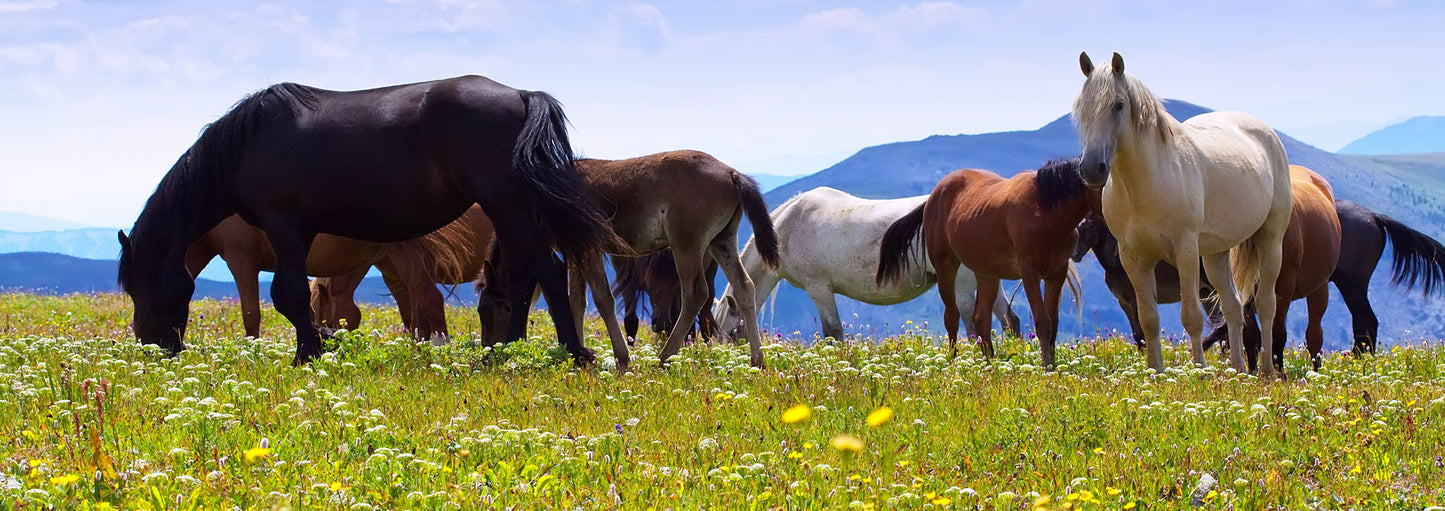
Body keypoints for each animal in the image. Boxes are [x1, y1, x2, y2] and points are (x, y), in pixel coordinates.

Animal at [477, 150, 778, 369]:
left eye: (488, 310)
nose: (488, 351)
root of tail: (731, 172)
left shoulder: (590, 248)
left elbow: (602, 299)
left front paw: (621, 358)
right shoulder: (575, 251)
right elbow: (576, 302)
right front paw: (579, 354)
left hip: (686, 244)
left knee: (695, 294)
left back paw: (664, 357)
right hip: (722, 241)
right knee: (744, 287)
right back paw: (757, 361)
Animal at [713, 187, 1020, 343]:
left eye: (730, 334)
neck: (788, 227)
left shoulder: (819, 288)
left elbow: (833, 333)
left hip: (963, 284)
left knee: (972, 325)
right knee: (1009, 319)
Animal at [877, 159, 1095, 368]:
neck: (1045, 210)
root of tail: (932, 196)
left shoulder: (1056, 273)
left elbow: (1054, 322)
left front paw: (1054, 364)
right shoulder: (1029, 272)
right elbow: (1043, 321)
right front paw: (1047, 366)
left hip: (986, 272)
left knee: (980, 318)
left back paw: (989, 362)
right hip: (946, 266)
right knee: (952, 316)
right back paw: (953, 361)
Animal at [1073, 52, 1294, 377]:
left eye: (1118, 105)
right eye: (1081, 107)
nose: (1092, 169)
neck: (1145, 183)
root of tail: (1265, 133)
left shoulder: (1185, 251)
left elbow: (1190, 316)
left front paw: (1199, 372)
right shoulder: (1134, 258)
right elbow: (1148, 320)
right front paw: (1155, 373)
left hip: (1270, 240)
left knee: (1266, 304)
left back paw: (1266, 372)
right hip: (1216, 254)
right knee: (1233, 306)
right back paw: (1238, 370)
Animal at [1074, 165, 1341, 372]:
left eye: (1089, 227)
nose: (1075, 253)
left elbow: (1274, 331)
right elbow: (1248, 332)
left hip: (1316, 289)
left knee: (1312, 334)